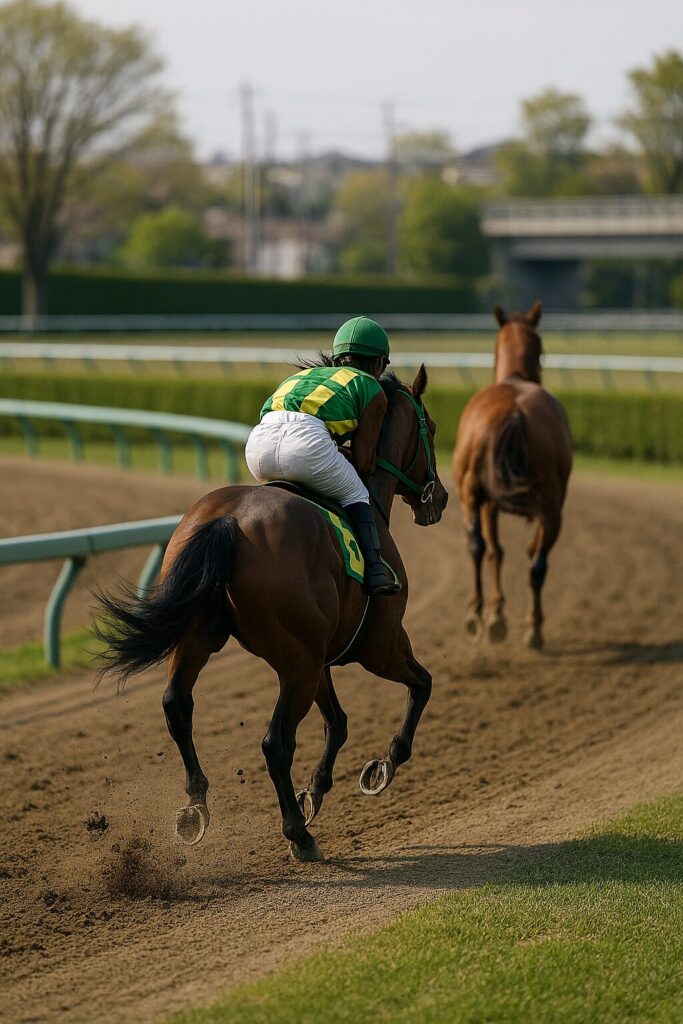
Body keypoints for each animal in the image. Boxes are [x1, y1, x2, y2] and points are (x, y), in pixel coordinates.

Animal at [95, 365, 449, 863]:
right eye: (431, 428)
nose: (441, 499)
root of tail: (227, 522)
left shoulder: (322, 656)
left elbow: (338, 723)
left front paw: (315, 792)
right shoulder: (380, 646)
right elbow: (422, 686)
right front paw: (382, 766)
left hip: (205, 638)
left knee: (176, 705)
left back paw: (196, 808)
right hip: (297, 664)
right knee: (275, 742)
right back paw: (298, 835)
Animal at [452, 301, 572, 649]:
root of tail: (514, 413)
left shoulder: (488, 501)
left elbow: (494, 551)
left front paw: (495, 615)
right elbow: (513, 551)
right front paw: (498, 615)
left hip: (471, 494)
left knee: (477, 547)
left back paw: (476, 614)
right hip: (549, 506)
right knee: (536, 563)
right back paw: (532, 626)